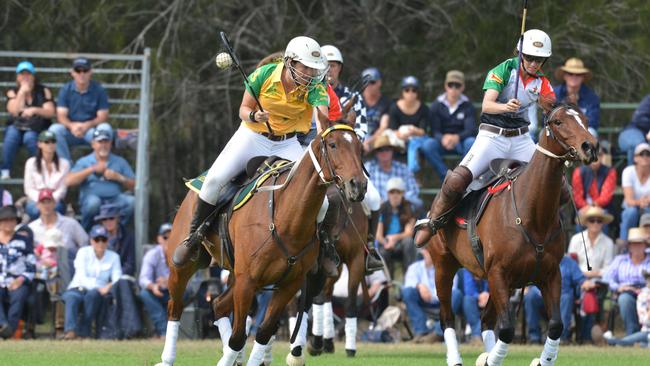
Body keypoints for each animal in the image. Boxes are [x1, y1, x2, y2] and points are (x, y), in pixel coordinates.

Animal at [153, 122, 364, 366]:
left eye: (359, 147)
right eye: (332, 145)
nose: (358, 186)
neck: (287, 217)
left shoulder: (288, 284)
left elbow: (264, 331)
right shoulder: (248, 282)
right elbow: (238, 337)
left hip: (237, 274)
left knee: (217, 305)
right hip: (184, 266)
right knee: (175, 307)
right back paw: (167, 358)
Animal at [412, 103, 596, 366]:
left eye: (585, 120)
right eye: (559, 122)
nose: (590, 147)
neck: (533, 215)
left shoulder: (549, 274)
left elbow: (556, 325)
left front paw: (541, 360)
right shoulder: (498, 272)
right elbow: (508, 329)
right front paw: (490, 359)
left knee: (486, 320)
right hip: (443, 266)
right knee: (447, 316)